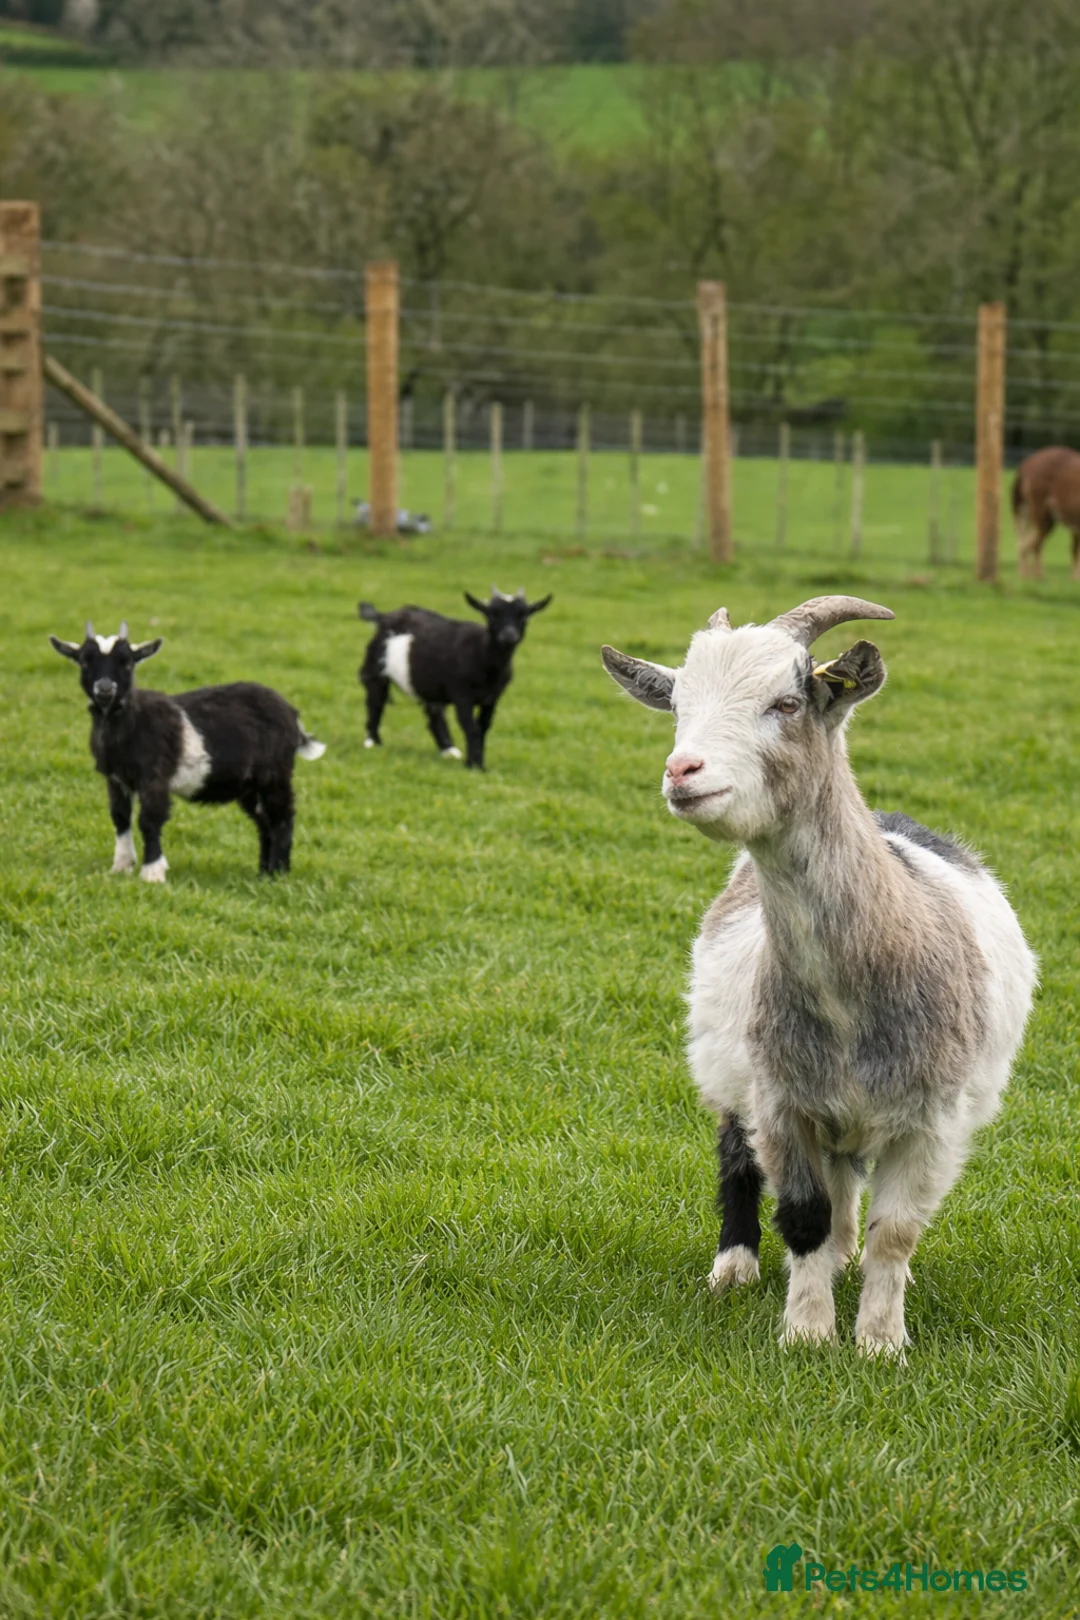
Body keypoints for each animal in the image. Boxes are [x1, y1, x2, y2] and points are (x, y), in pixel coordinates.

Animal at [49, 622, 326, 881]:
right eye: (84, 661)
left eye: (127, 662)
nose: (105, 689)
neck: (133, 720)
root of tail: (292, 715)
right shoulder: (116, 779)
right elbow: (120, 818)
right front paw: (121, 866)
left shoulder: (155, 776)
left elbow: (149, 820)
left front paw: (152, 873)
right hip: (249, 785)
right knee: (263, 821)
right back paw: (263, 873)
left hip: (275, 775)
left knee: (282, 817)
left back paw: (278, 873)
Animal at [358, 588, 552, 769]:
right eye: (492, 614)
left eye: (524, 615)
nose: (509, 635)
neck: (482, 652)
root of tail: (386, 616)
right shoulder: (461, 693)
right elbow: (470, 726)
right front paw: (474, 765)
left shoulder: (493, 697)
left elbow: (483, 727)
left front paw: (478, 763)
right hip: (374, 668)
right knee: (376, 700)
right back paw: (373, 742)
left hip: (429, 683)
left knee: (434, 712)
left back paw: (449, 750)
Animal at [602, 595, 1035, 1356]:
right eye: (678, 704)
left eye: (786, 702)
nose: (683, 770)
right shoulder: (782, 1101)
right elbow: (804, 1215)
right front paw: (807, 1335)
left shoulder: (932, 1119)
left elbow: (895, 1232)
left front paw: (880, 1343)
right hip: (729, 1065)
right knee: (738, 1156)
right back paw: (736, 1269)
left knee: (848, 1196)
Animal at [1012, 446, 1080, 581]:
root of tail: (1027, 464)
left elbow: (1075, 550)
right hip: (1041, 516)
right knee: (1031, 545)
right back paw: (1035, 576)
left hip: (1043, 518)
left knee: (1029, 544)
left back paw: (1028, 574)